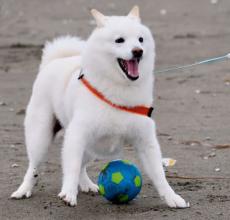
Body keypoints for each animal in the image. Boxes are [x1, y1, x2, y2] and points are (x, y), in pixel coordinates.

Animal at [10, 5, 190, 208]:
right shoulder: (77, 135)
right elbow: (71, 167)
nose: (138, 51)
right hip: (41, 137)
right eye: (119, 40)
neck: (120, 88)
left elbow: (159, 174)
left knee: (82, 165)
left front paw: (172, 197)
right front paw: (68, 192)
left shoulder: (145, 141)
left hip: (91, 147)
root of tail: (55, 61)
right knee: (34, 166)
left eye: (140, 39)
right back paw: (24, 190)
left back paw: (86, 184)